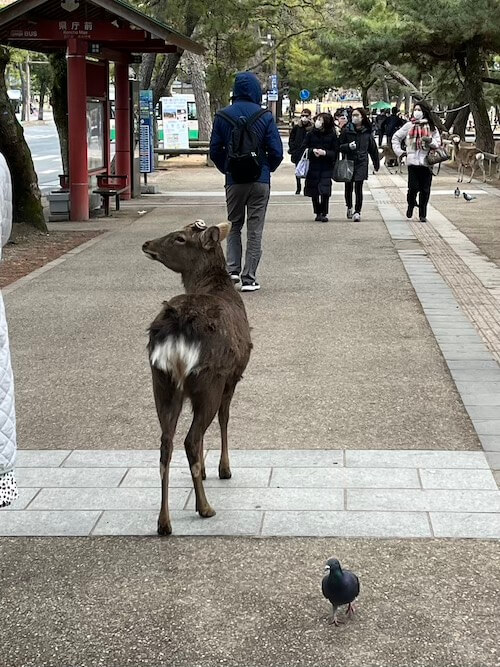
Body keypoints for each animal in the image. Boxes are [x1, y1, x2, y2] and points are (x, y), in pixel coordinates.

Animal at [143, 220, 252, 536]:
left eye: (179, 237)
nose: (146, 243)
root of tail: (178, 325)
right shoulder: (232, 377)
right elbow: (225, 419)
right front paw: (223, 469)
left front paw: (204, 471)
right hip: (208, 380)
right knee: (190, 439)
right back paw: (204, 507)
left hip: (161, 382)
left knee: (166, 443)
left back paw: (164, 522)